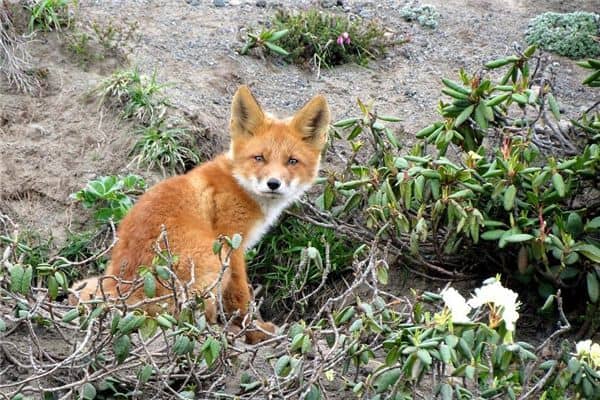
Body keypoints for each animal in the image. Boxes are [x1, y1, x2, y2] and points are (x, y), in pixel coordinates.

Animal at [71, 86, 332, 342]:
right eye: (259, 158)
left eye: (292, 161)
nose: (274, 184)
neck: (238, 183)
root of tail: (126, 289)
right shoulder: (231, 243)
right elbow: (240, 295)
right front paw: (254, 330)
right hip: (212, 260)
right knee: (187, 318)